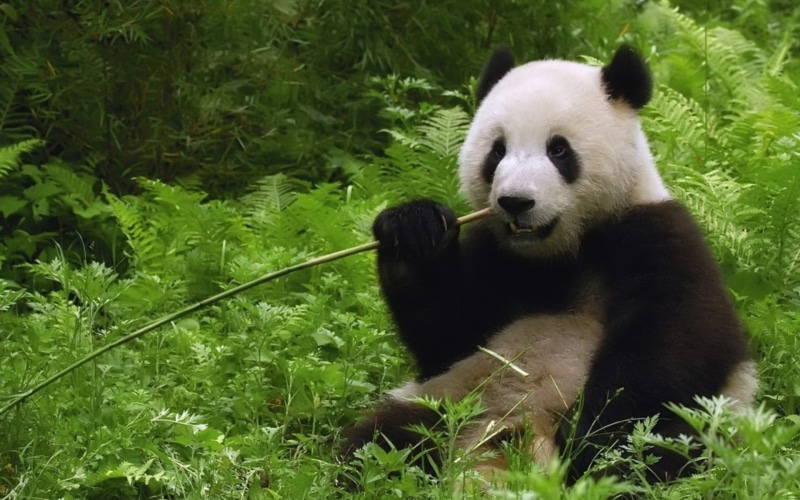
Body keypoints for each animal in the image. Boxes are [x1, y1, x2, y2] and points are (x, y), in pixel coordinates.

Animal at [341, 45, 758, 485]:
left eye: (558, 150)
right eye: (497, 150)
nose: (515, 201)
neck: (558, 252)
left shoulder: (656, 235)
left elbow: (675, 343)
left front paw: (586, 436)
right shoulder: (495, 256)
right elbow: (446, 335)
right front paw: (413, 231)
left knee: (661, 447)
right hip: (452, 398)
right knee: (383, 441)